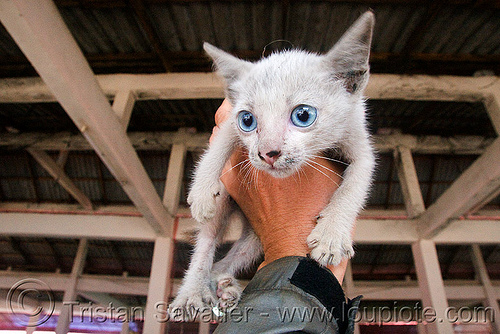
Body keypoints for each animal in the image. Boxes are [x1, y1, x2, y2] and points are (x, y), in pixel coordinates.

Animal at [171, 11, 376, 318]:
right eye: (247, 120)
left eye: (303, 115)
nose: (268, 152)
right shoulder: (228, 121)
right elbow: (216, 148)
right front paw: (201, 191)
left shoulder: (359, 139)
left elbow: (355, 184)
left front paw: (331, 234)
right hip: (226, 204)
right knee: (206, 245)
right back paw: (192, 291)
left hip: (255, 239)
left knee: (226, 262)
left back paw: (227, 289)